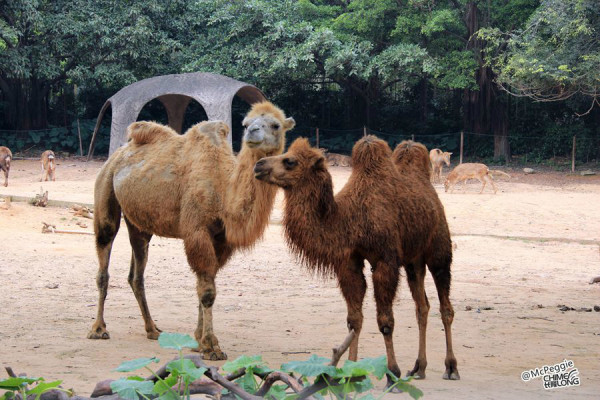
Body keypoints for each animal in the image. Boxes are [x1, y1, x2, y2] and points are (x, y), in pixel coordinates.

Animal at [87, 101, 296, 360]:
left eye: (275, 125)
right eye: (246, 123)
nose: (252, 132)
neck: (223, 192)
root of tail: (117, 154)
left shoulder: (221, 240)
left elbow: (206, 285)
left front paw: (200, 340)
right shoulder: (197, 231)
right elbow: (207, 291)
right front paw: (210, 347)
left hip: (139, 223)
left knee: (136, 273)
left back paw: (152, 329)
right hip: (105, 189)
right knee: (104, 257)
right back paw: (98, 329)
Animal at [254, 136, 460, 386]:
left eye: (290, 161)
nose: (258, 165)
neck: (350, 220)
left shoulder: (385, 262)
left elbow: (385, 321)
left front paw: (392, 374)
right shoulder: (349, 263)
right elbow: (355, 320)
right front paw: (350, 372)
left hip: (439, 248)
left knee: (445, 306)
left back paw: (451, 367)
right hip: (414, 260)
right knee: (422, 307)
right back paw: (418, 368)